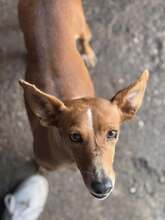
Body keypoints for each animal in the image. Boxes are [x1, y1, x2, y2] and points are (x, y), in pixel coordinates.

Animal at [18, 0, 150, 199]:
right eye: (75, 136)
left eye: (113, 133)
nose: (102, 187)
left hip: (82, 26)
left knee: (84, 39)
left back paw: (88, 54)